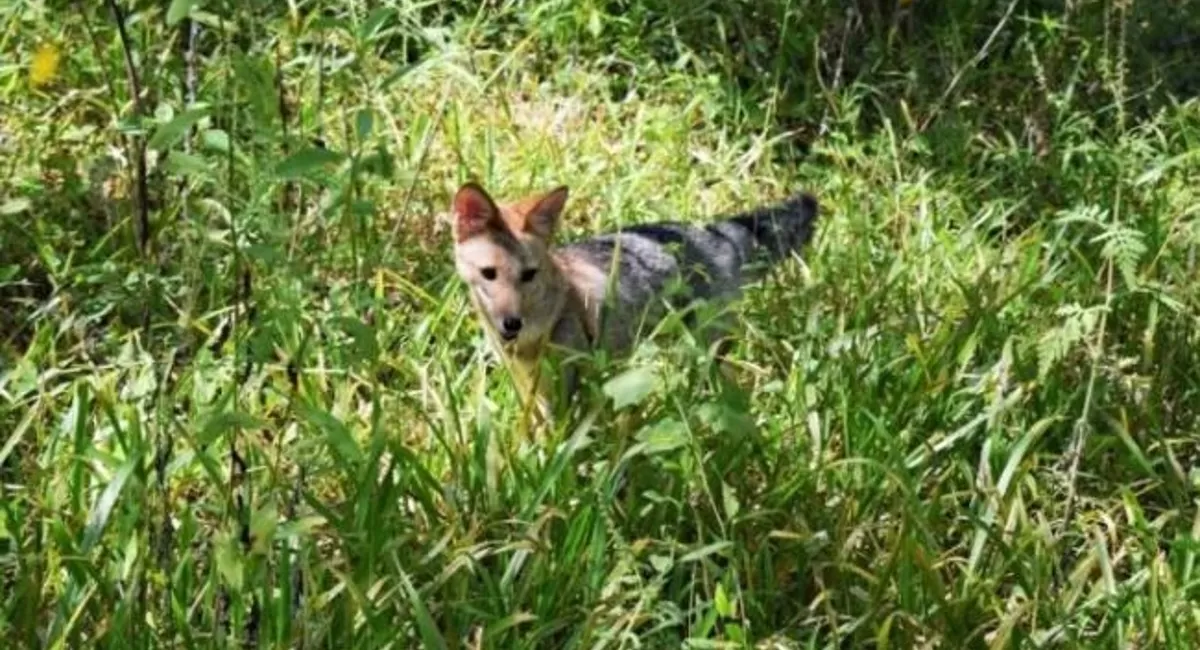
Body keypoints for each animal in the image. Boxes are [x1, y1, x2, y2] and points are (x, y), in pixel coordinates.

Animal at [448, 181, 816, 419]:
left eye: (529, 275)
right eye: (489, 274)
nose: (511, 324)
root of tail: (712, 232)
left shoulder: (566, 386)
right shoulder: (528, 386)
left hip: (704, 354)